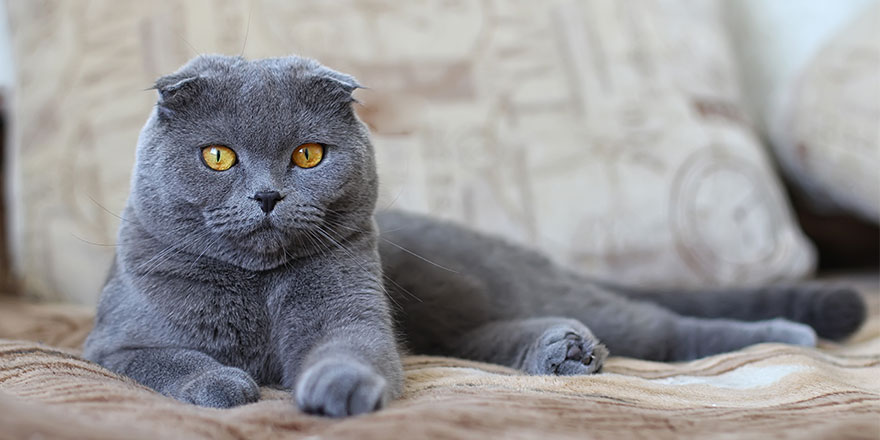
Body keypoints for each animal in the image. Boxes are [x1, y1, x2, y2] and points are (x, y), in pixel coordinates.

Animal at [82, 54, 868, 416]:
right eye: (219, 157)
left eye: (307, 155)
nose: (269, 195)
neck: (258, 291)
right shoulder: (113, 343)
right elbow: (167, 360)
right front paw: (225, 383)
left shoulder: (352, 310)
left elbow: (352, 347)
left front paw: (338, 388)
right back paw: (562, 351)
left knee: (662, 327)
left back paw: (787, 334)